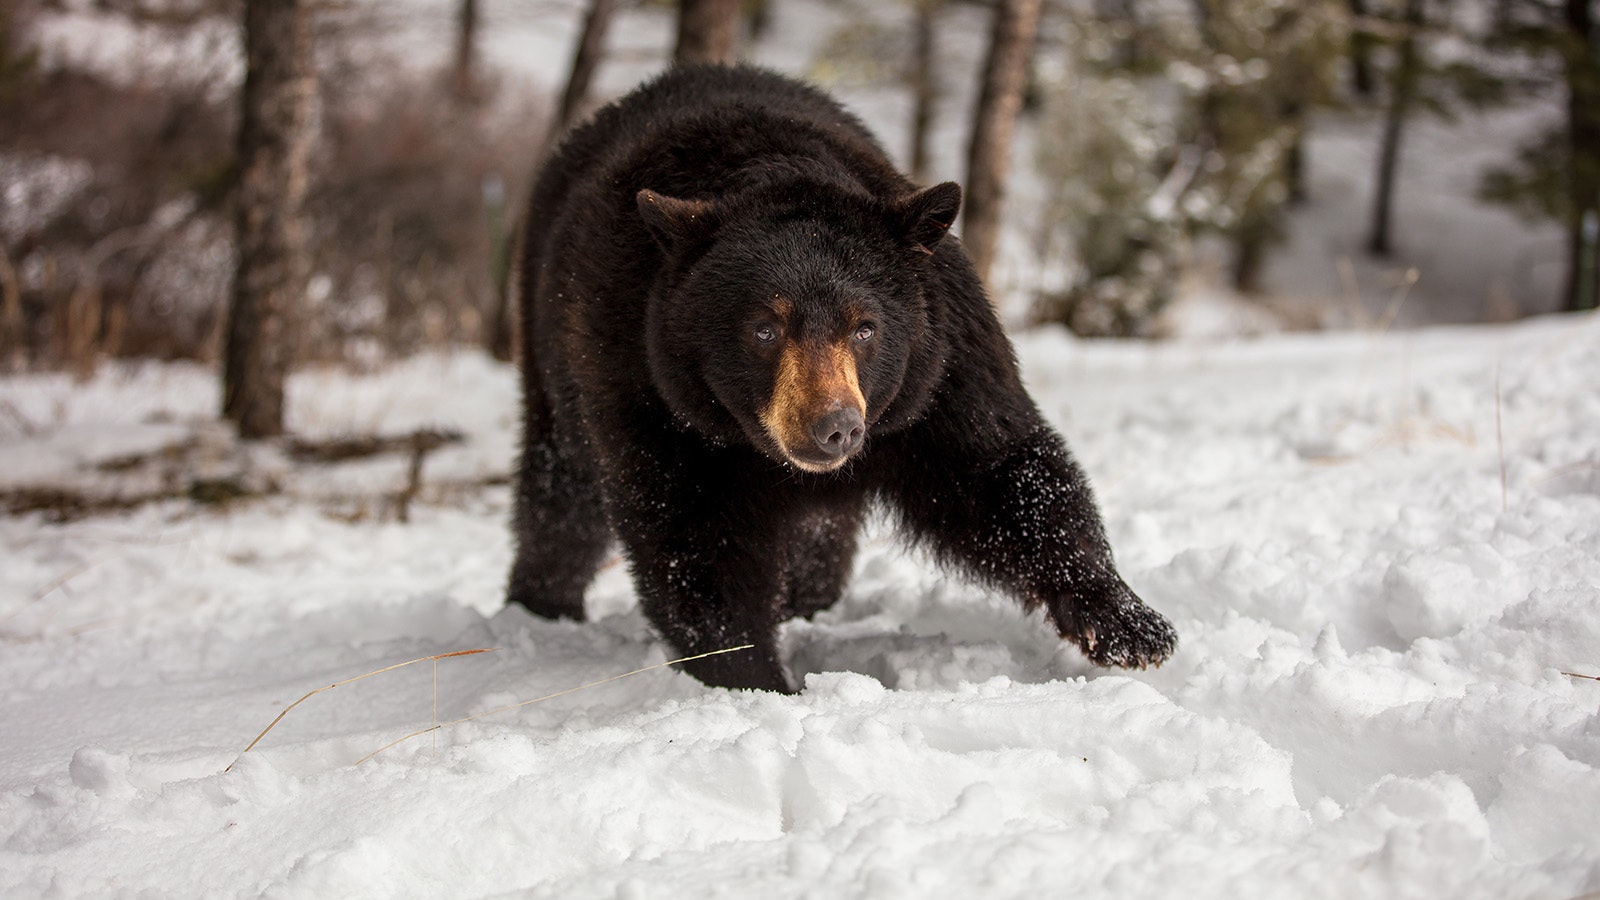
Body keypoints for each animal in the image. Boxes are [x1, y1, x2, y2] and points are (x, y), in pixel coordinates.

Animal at [506, 64, 1176, 692]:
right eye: (764, 329)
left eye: (865, 328)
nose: (834, 427)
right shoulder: (649, 385)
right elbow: (691, 535)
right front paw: (755, 679)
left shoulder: (937, 364)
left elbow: (1002, 471)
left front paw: (1127, 622)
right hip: (548, 351)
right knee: (560, 488)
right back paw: (541, 605)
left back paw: (810, 600)